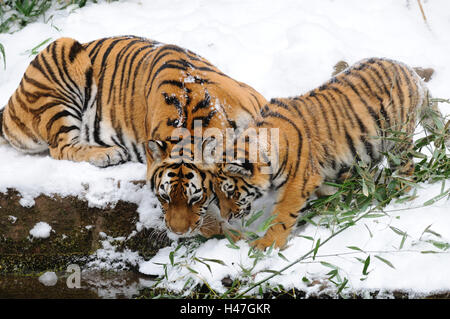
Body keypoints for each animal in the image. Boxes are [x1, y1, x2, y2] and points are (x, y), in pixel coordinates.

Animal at [0, 36, 268, 239]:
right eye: (163, 197)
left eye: (196, 197)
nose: (178, 233)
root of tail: (11, 102)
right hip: (61, 56)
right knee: (61, 147)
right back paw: (108, 153)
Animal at [213, 58, 448, 251]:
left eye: (231, 192)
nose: (226, 217)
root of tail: (412, 73)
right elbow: (328, 194)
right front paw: (330, 210)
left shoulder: (296, 184)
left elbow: (282, 216)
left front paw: (266, 244)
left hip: (397, 140)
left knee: (405, 171)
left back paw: (397, 196)